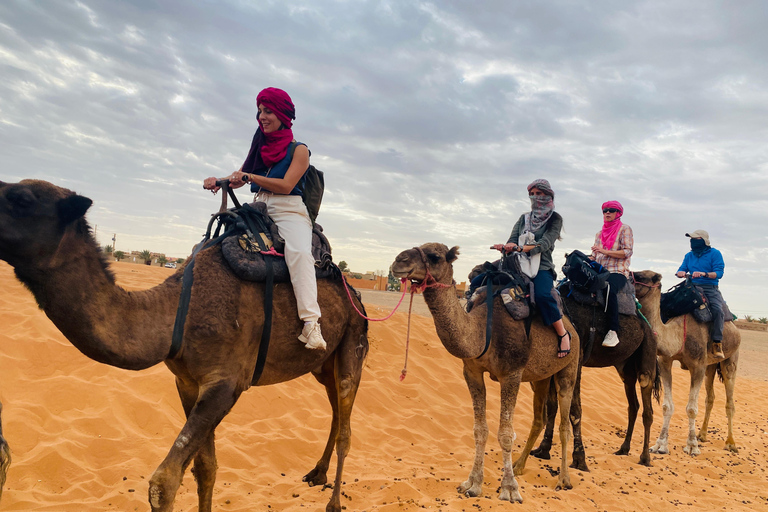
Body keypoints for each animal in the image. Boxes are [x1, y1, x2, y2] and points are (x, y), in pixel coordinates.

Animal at [0, 180, 368, 512]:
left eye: (22, 198)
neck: (177, 313)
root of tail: (355, 292)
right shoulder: (188, 381)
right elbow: (205, 467)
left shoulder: (227, 383)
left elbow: (164, 482)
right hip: (322, 365)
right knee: (336, 411)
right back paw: (317, 474)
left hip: (354, 339)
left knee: (347, 425)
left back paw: (334, 503)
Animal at [392, 245, 580, 504]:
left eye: (434, 257)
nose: (398, 261)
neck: (483, 330)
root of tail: (573, 328)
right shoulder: (471, 371)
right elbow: (479, 430)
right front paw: (472, 484)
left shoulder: (511, 374)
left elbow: (506, 433)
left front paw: (509, 489)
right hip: (540, 378)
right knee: (538, 419)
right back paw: (520, 466)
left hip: (569, 368)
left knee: (564, 424)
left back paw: (564, 480)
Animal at [528, 292, 660, 468]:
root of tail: (648, 327)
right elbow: (552, 407)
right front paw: (543, 450)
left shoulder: (576, 361)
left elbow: (574, 410)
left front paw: (579, 459)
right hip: (625, 367)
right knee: (633, 404)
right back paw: (623, 449)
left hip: (648, 350)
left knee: (647, 405)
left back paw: (645, 457)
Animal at [632, 270, 740, 454]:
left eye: (641, 276)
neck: (677, 334)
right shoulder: (665, 362)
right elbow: (667, 406)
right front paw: (660, 445)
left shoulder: (698, 366)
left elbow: (691, 409)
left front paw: (691, 446)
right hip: (711, 366)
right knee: (710, 398)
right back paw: (702, 435)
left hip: (730, 359)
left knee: (730, 401)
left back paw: (730, 443)